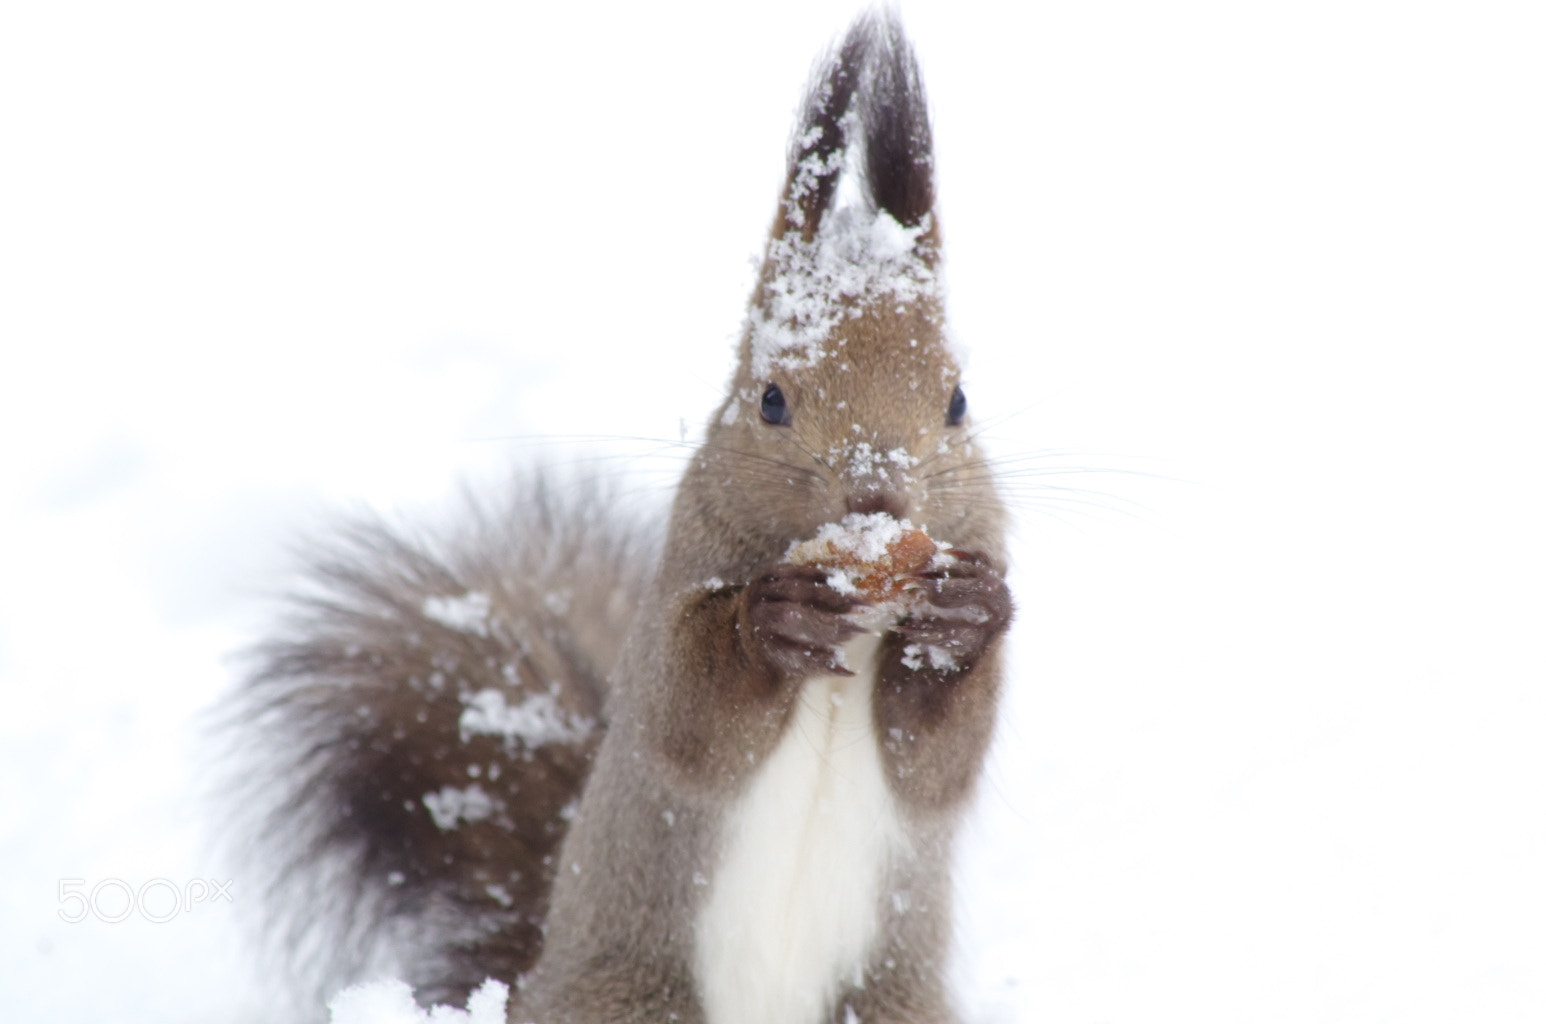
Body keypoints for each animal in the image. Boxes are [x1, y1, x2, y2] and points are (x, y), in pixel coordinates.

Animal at [224, 10, 1007, 1024]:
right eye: (771, 400)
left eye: (958, 401)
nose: (877, 498)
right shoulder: (685, 570)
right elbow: (688, 718)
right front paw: (773, 621)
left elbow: (940, 758)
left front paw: (964, 617)